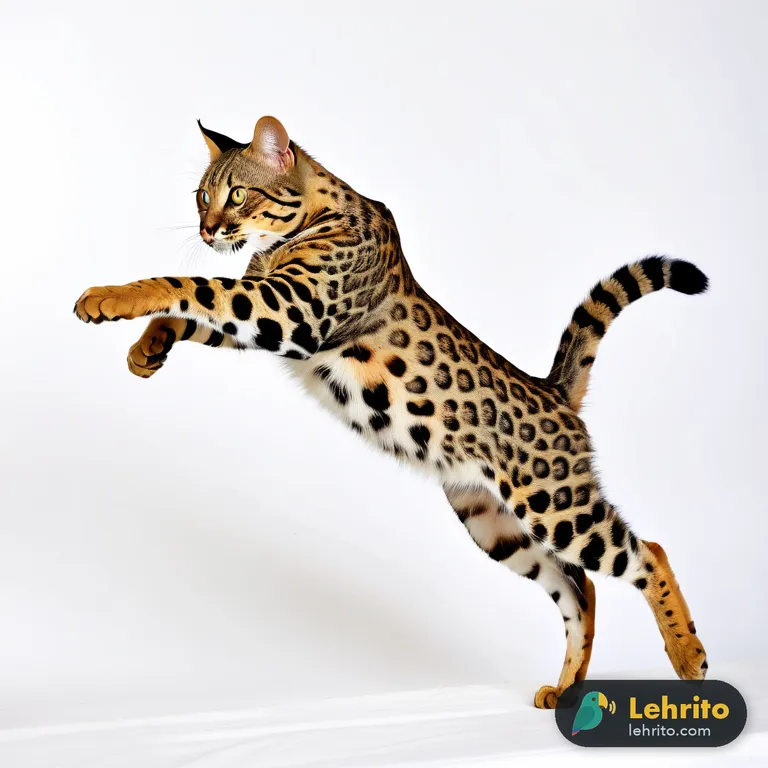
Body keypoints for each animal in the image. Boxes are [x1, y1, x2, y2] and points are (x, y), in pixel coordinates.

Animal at [74, 115, 710, 708]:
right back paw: (569, 689)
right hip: (493, 524)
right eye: (200, 197)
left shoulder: (291, 311)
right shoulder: (268, 314)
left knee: (647, 554)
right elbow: (191, 309)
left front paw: (107, 297)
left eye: (237, 195)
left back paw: (689, 657)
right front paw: (146, 348)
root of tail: (553, 390)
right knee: (581, 590)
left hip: (557, 505)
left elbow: (188, 283)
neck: (316, 215)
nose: (208, 230)